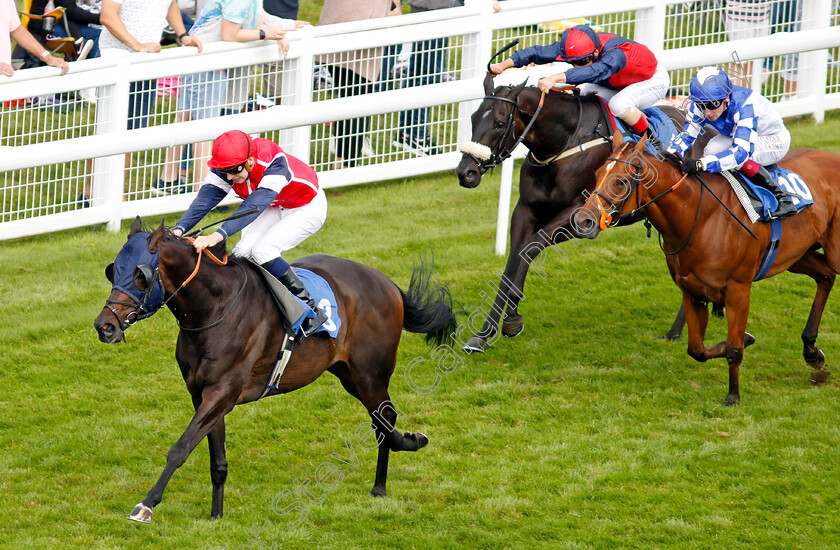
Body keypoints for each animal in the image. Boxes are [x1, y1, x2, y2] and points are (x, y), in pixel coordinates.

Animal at [94, 219, 456, 528]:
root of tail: (387, 283)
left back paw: (387, 475)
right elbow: (216, 460)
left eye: (140, 275)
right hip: (348, 375)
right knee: (381, 420)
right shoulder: (204, 396)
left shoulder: (222, 393)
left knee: (384, 419)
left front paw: (146, 504)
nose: (104, 326)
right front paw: (216, 515)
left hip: (370, 374)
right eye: (113, 270)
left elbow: (180, 448)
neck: (214, 308)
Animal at [452, 74, 716, 354]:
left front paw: (512, 318)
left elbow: (530, 247)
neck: (564, 142)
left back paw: (680, 331)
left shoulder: (581, 216)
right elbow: (513, 261)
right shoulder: (525, 210)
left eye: (500, 123)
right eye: (473, 119)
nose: (466, 172)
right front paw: (483, 333)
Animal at [576, 135, 840, 406]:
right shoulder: (692, 291)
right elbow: (697, 350)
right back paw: (811, 350)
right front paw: (747, 338)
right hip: (796, 254)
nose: (582, 220)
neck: (700, 216)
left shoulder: (738, 290)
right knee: (826, 275)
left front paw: (733, 396)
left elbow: (734, 349)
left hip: (831, 251)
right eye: (596, 174)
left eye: (620, 181)